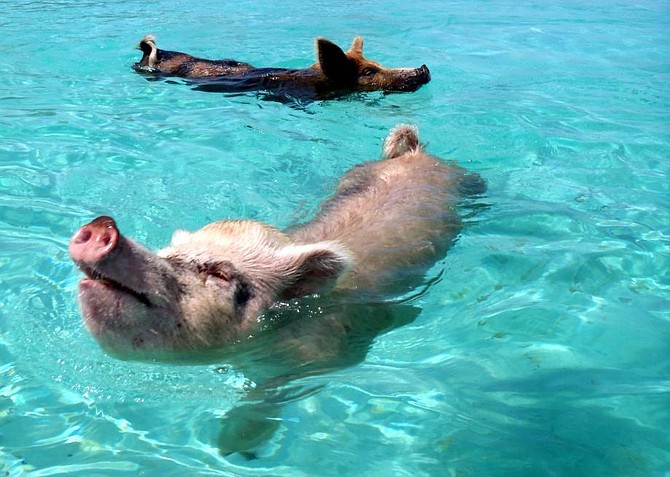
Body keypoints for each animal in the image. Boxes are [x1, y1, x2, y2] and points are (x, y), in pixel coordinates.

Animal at [69, 124, 488, 456]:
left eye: (220, 274)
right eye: (168, 255)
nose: (104, 226)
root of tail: (415, 153)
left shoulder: (325, 358)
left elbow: (270, 395)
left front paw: (232, 447)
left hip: (472, 185)